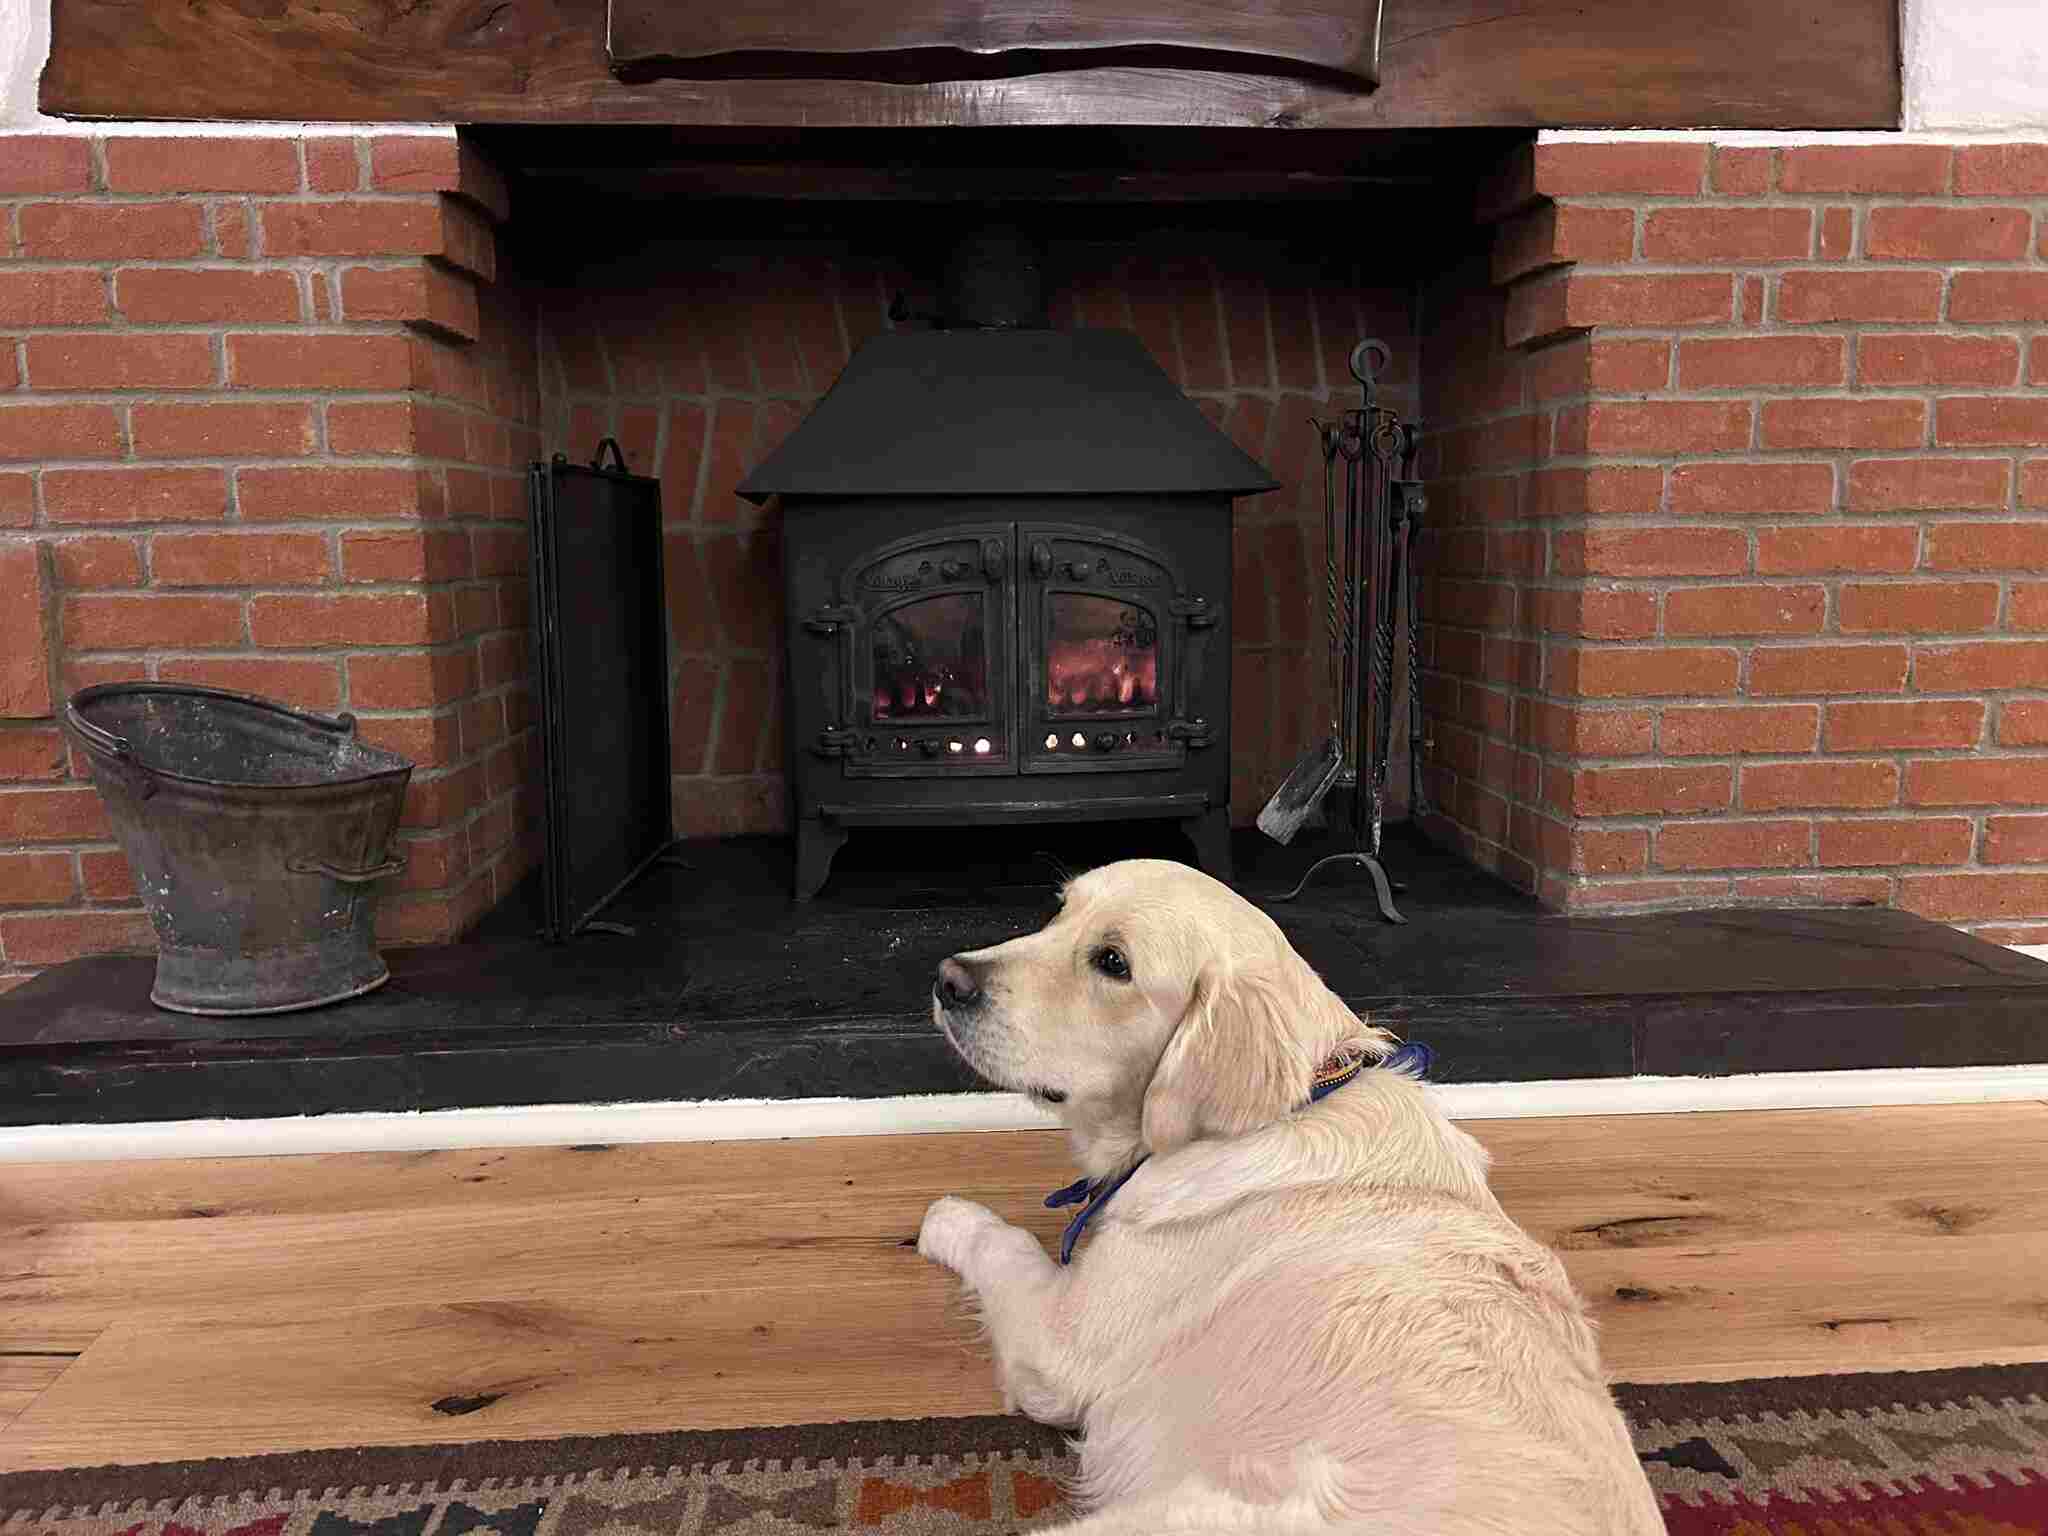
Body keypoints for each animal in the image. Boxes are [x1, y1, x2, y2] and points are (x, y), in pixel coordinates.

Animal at [917, 858, 1661, 1535]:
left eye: (1112, 962)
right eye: (1060, 911)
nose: (948, 978)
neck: (1288, 1105)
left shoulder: (1059, 1348)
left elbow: (1005, 1239)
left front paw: (945, 1218)